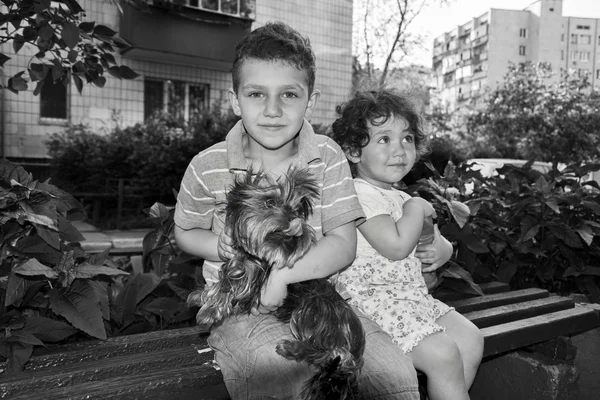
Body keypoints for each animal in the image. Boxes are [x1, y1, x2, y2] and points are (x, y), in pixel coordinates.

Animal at [190, 168, 364, 400]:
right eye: (269, 202)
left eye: (296, 207)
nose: (293, 217)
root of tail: (355, 352)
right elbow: (226, 275)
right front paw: (200, 297)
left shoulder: (253, 280)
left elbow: (229, 282)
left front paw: (208, 311)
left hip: (313, 308)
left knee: (331, 352)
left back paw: (290, 347)